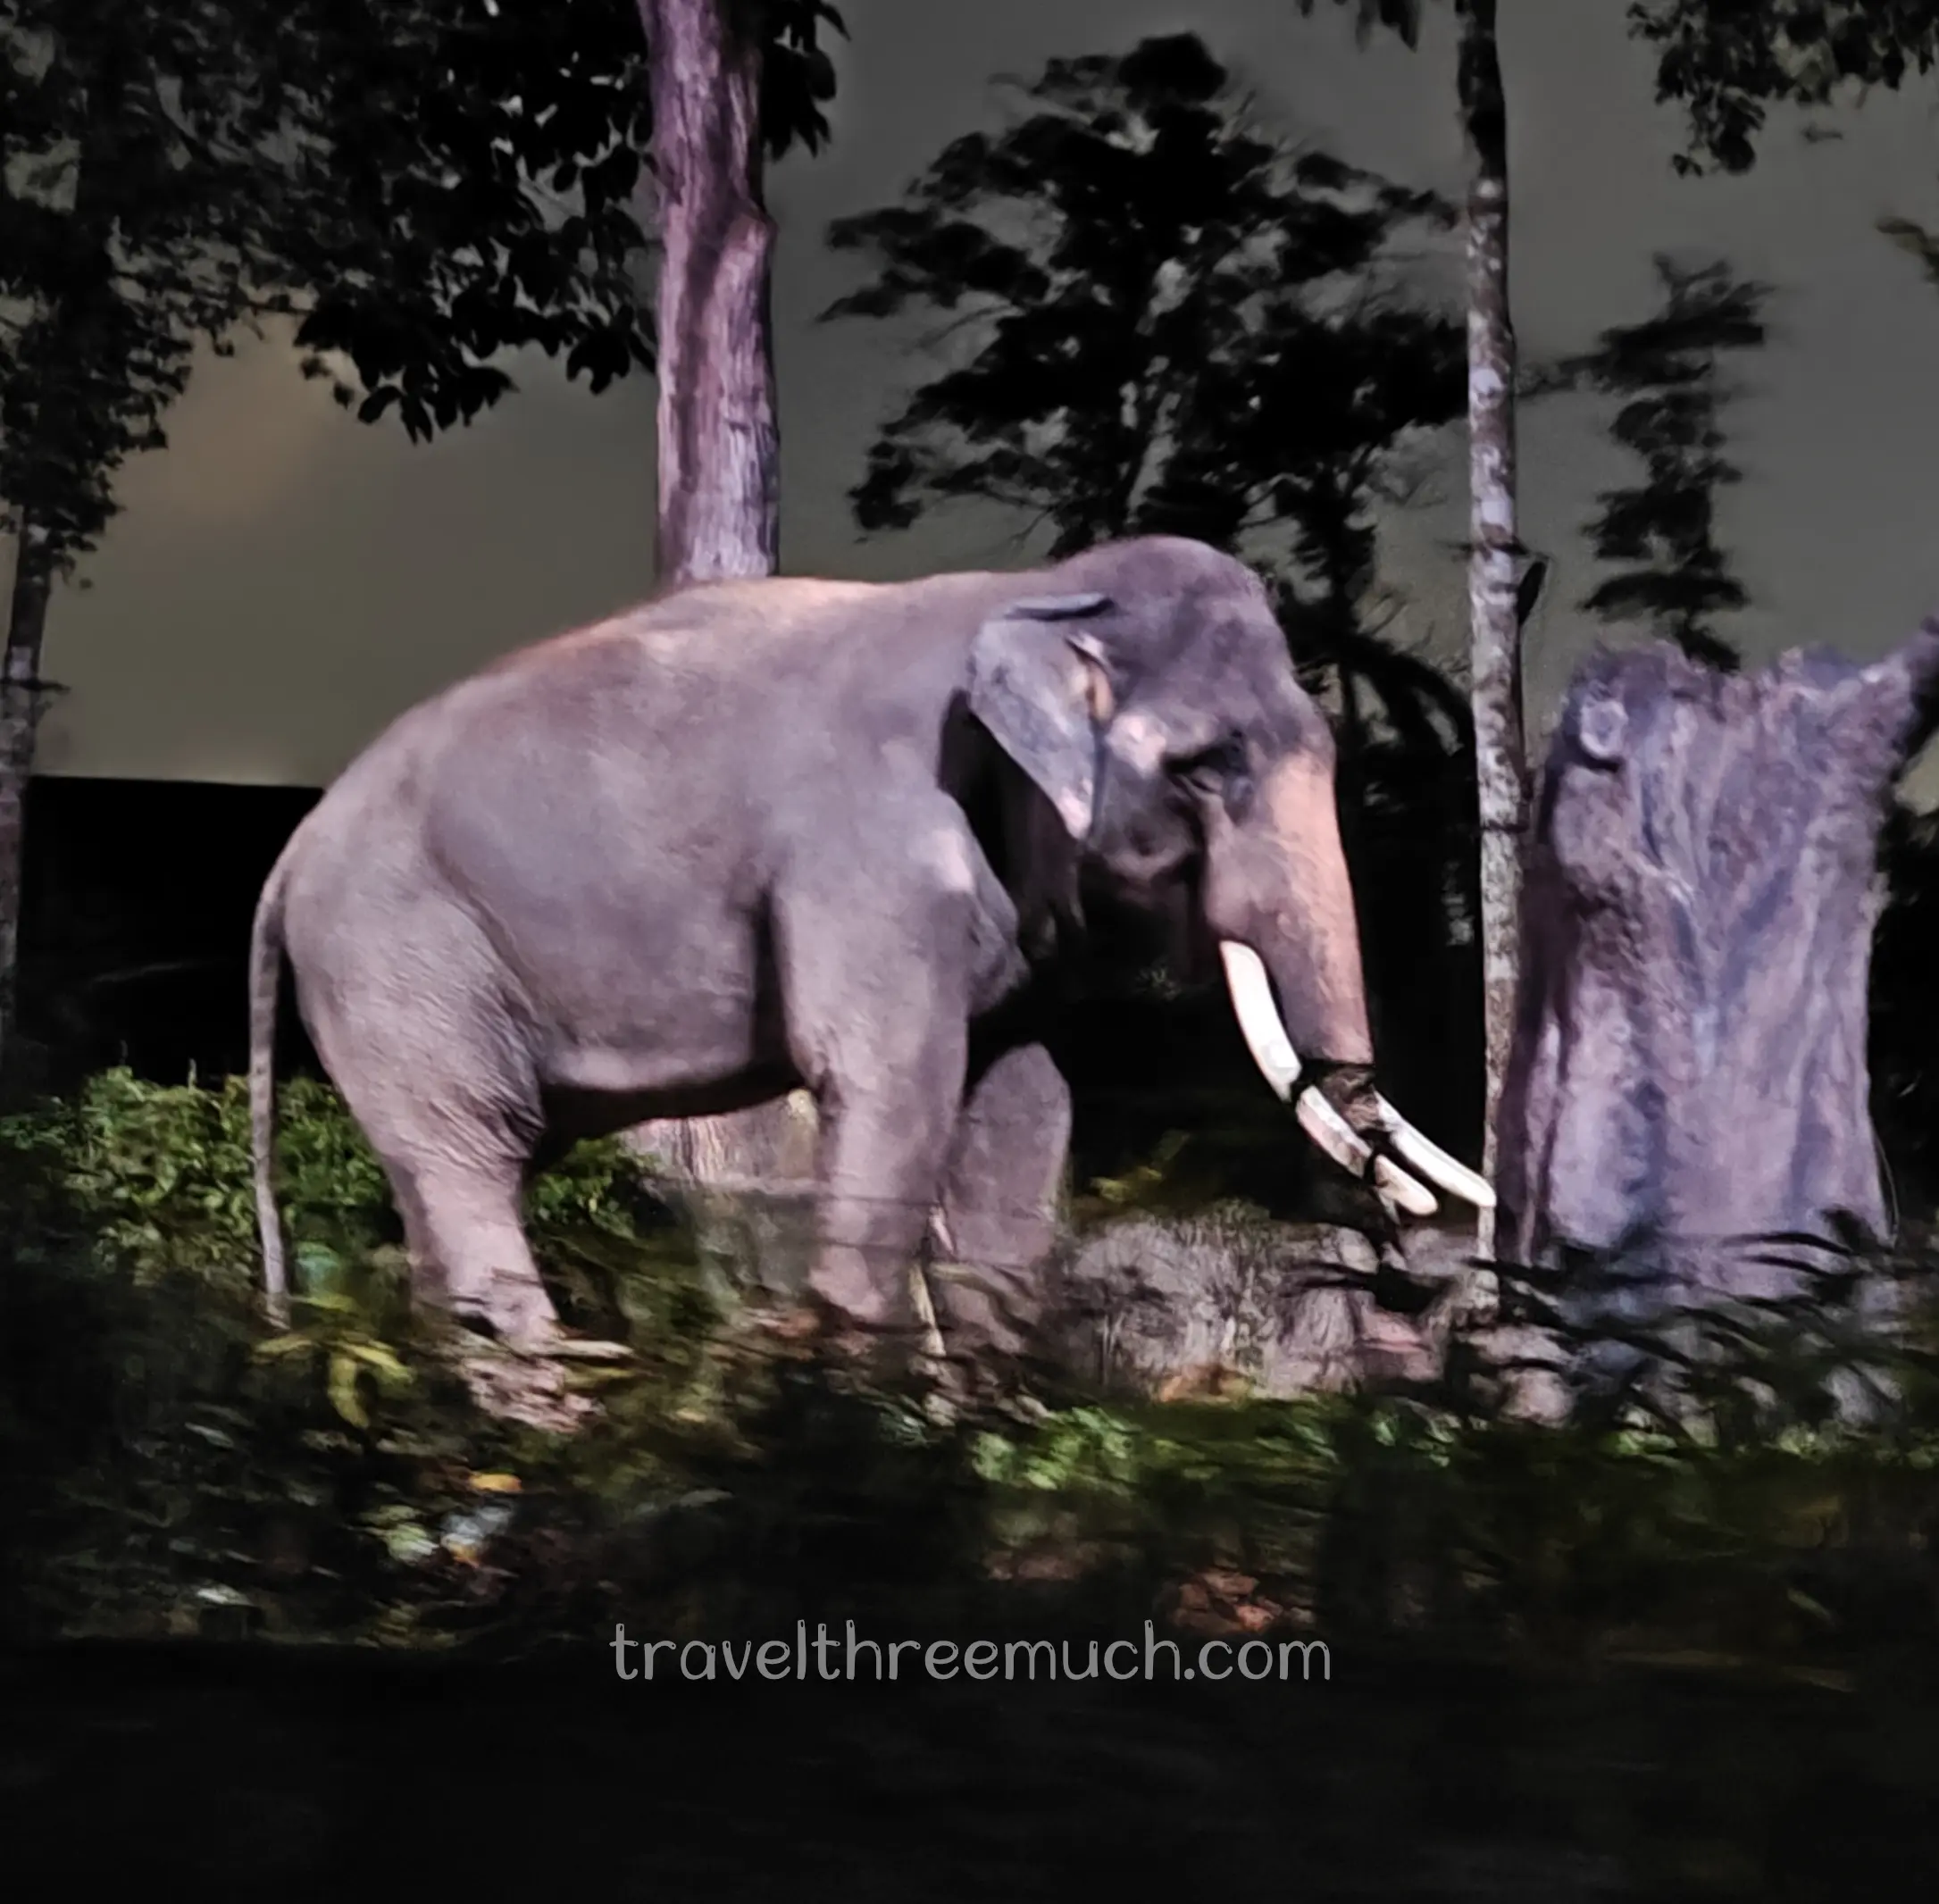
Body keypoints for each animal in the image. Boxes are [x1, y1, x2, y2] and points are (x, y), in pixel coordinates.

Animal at [248, 535, 1490, 1373]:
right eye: (1204, 766)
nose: (1397, 1249)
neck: (1032, 590)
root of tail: (285, 864)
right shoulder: (870, 847)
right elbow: (889, 1082)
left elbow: (1021, 1103)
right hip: (395, 958)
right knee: (466, 1159)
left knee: (453, 1177)